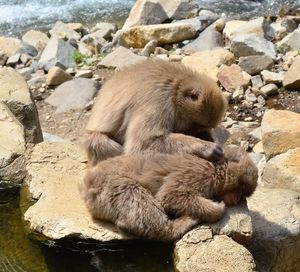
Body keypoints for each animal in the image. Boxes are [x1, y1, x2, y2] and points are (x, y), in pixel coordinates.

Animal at [79, 146, 258, 241]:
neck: (217, 167)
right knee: (134, 193)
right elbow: (170, 196)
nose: (237, 199)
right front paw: (217, 209)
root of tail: (86, 184)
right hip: (108, 187)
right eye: (241, 188)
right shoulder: (199, 173)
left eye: (243, 193)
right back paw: (173, 228)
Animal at [85, 59, 226, 166]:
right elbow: (142, 146)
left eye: (200, 129)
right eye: (193, 126)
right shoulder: (158, 103)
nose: (195, 133)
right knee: (98, 141)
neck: (175, 89)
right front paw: (206, 148)